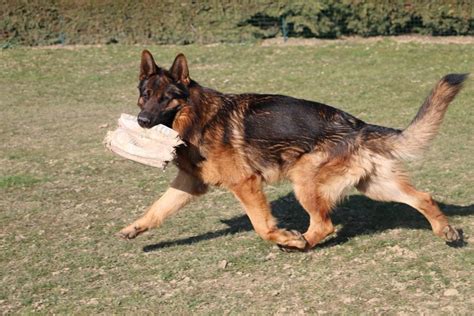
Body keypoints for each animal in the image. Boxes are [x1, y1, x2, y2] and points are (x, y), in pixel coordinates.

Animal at [116, 50, 464, 252]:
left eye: (165, 99)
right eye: (145, 95)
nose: (142, 121)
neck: (198, 116)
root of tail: (358, 125)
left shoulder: (246, 184)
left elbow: (261, 226)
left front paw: (284, 236)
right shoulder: (190, 183)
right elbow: (157, 208)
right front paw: (133, 228)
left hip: (304, 179)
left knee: (324, 224)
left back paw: (300, 243)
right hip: (374, 186)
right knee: (423, 197)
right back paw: (445, 229)